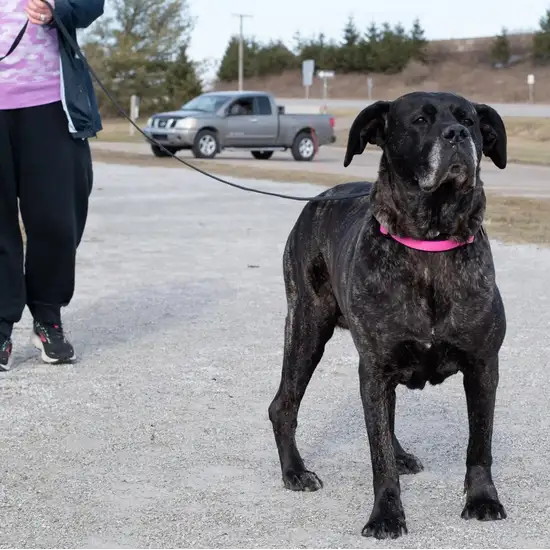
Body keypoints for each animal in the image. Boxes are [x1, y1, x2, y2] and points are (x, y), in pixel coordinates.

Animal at [268, 92, 508, 540]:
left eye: (469, 119)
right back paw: (295, 472)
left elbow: (479, 443)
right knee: (283, 405)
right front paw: (386, 514)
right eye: (420, 121)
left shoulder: (483, 366)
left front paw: (483, 499)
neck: (430, 242)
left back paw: (400, 455)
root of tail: (318, 199)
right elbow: (377, 454)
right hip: (307, 329)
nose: (457, 134)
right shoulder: (375, 368)